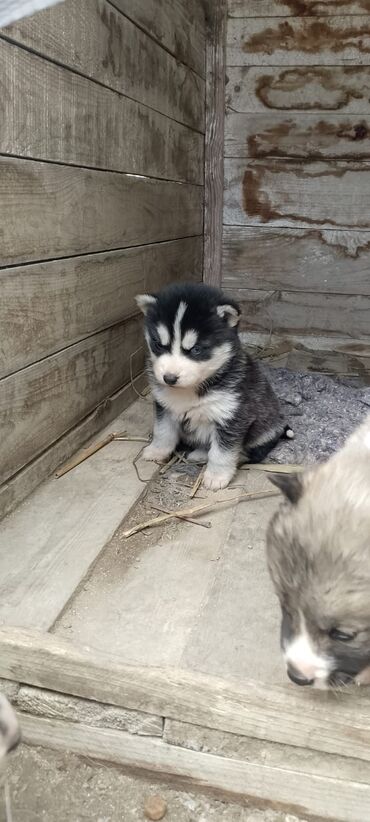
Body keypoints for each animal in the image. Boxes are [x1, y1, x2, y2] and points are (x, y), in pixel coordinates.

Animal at [137, 284, 294, 490]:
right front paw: (157, 451)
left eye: (196, 349)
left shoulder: (232, 417)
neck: (190, 390)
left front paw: (217, 476)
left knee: (253, 452)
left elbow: (222, 452)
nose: (169, 378)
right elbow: (163, 432)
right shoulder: (164, 407)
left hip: (265, 428)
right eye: (158, 344)